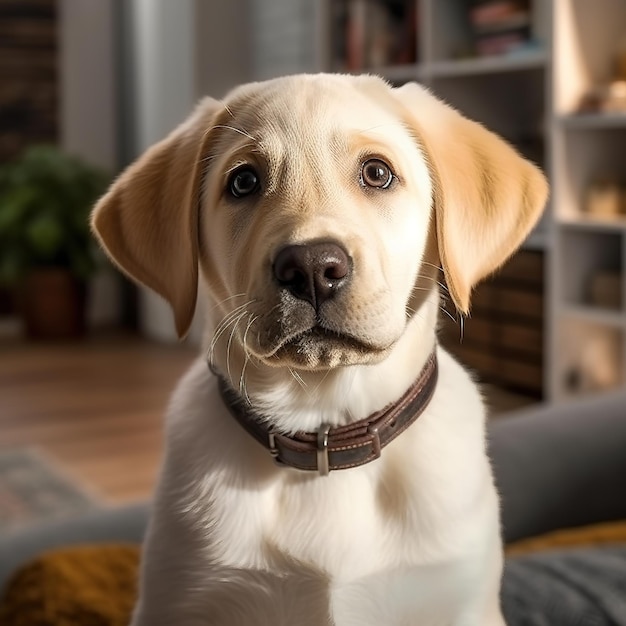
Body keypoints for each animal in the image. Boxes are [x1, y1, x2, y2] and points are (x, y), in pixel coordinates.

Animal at [90, 74, 544, 624]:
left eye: (377, 173)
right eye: (243, 182)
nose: (310, 268)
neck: (326, 427)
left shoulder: (462, 602)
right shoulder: (179, 602)